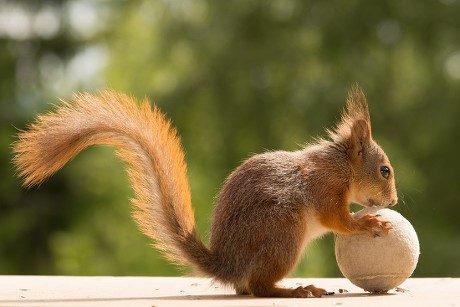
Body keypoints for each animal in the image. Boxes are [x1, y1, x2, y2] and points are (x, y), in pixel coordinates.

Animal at [12, 85, 398, 300]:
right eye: (385, 170)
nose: (394, 201)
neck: (341, 165)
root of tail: (228, 265)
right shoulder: (325, 188)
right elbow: (337, 219)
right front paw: (367, 224)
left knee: (248, 287)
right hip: (283, 231)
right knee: (258, 286)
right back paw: (296, 290)